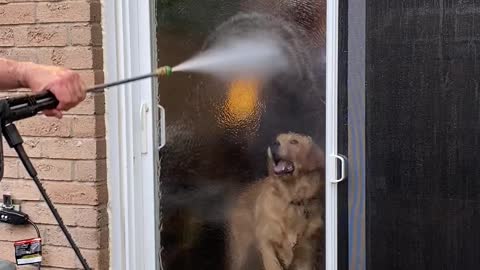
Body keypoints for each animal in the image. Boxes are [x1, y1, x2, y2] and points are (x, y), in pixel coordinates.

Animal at [227, 133, 324, 270]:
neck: (291, 199)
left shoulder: (306, 251)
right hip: (241, 252)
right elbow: (272, 262)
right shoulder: (267, 242)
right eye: (277, 139)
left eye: (294, 141)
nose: (273, 144)